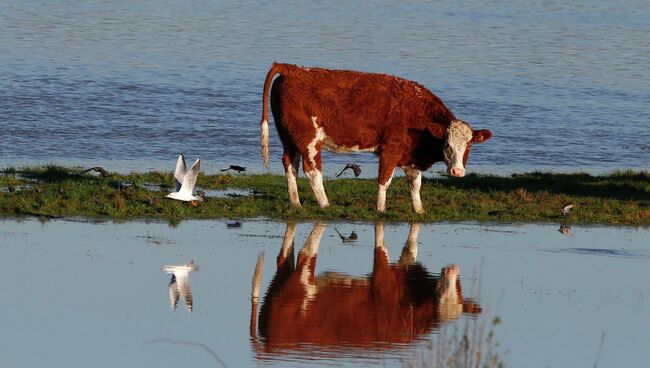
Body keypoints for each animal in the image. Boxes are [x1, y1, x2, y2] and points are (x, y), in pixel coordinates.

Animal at [249, 223, 480, 358]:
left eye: (458, 294)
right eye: (439, 295)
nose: (451, 270)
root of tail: (271, 346)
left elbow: (410, 249)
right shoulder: (382, 278)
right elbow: (382, 249)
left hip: (279, 281)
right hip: (296, 285)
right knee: (305, 256)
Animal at [258, 62, 492, 213]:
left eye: (469, 146)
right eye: (447, 145)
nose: (457, 171)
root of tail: (292, 69)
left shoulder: (411, 156)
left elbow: (415, 184)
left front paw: (419, 210)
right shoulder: (390, 150)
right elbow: (384, 181)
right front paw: (381, 209)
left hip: (289, 137)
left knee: (290, 164)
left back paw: (296, 202)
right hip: (308, 139)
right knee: (312, 169)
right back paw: (325, 204)